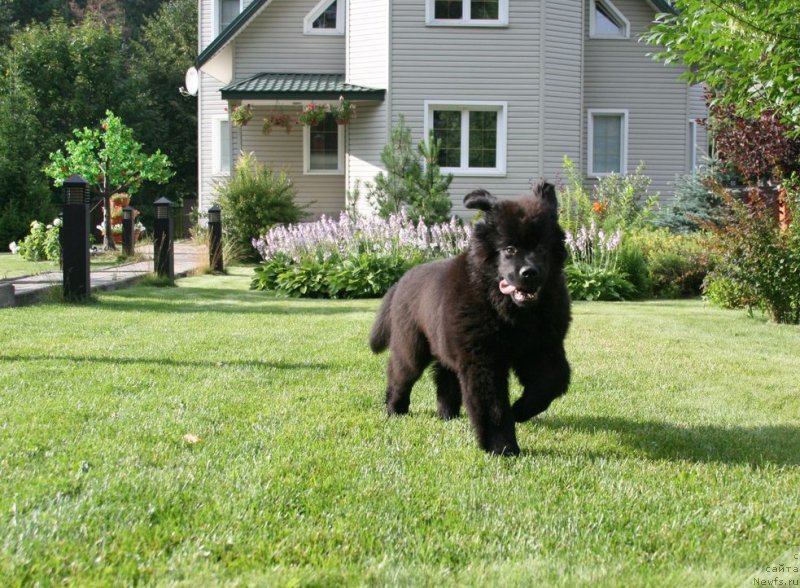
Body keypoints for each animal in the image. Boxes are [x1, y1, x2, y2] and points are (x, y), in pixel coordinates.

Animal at [372, 181, 572, 458]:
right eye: (509, 249)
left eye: (542, 248)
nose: (529, 273)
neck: (511, 313)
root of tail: (401, 280)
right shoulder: (483, 361)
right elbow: (493, 407)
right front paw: (503, 447)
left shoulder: (543, 349)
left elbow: (554, 381)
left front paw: (520, 410)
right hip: (412, 346)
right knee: (400, 374)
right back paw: (395, 409)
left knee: (445, 378)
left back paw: (448, 414)